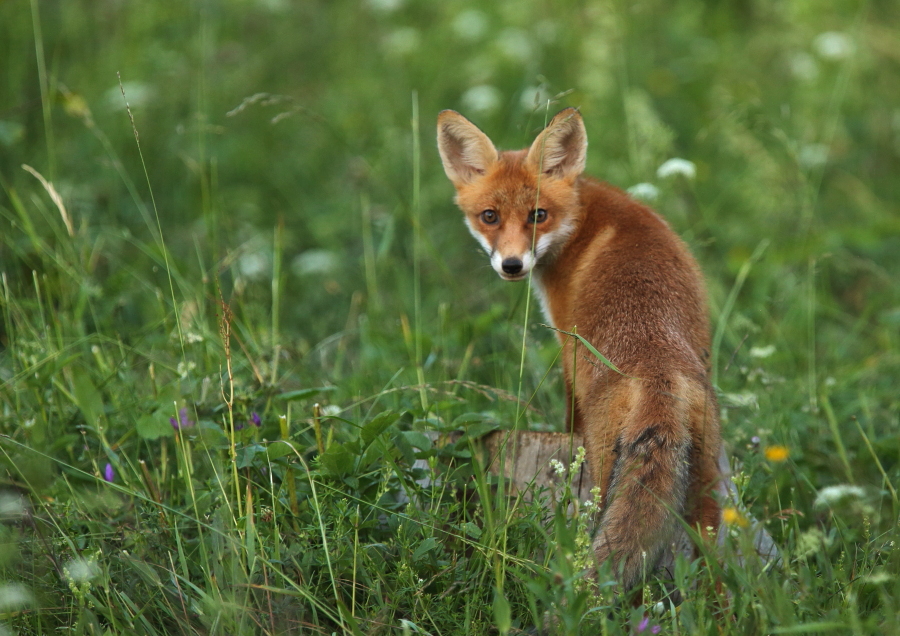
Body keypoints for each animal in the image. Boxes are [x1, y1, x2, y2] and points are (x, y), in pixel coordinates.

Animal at [438, 107, 724, 588]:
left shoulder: (567, 340)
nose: (512, 265)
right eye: (489, 216)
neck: (580, 217)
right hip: (708, 483)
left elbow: (570, 406)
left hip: (604, 469)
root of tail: (659, 371)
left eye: (538, 214)